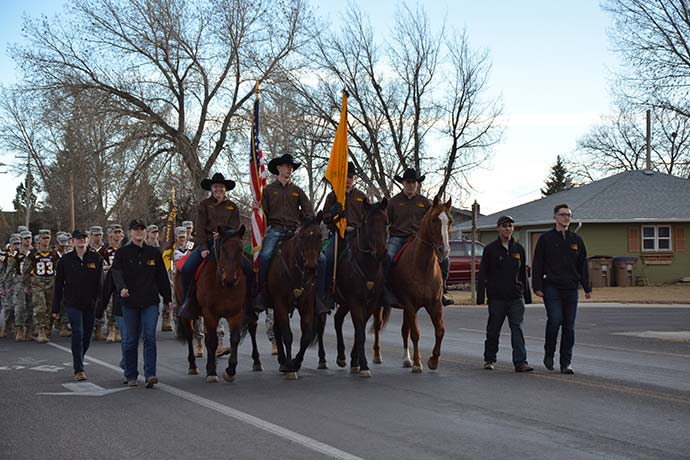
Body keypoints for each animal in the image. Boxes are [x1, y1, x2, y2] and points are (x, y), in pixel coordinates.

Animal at [179, 226, 262, 380]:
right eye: (223, 249)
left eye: (240, 249)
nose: (230, 280)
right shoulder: (209, 313)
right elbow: (212, 341)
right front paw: (212, 372)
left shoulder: (236, 312)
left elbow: (234, 338)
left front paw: (230, 370)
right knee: (189, 333)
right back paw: (193, 365)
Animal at [268, 212, 324, 378]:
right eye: (302, 237)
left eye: (320, 236)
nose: (311, 268)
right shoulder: (279, 302)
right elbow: (287, 335)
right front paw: (289, 365)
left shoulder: (307, 304)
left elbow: (305, 336)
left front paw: (296, 362)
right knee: (277, 329)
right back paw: (282, 360)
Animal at [328, 199, 388, 378]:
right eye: (368, 222)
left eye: (386, 222)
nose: (380, 252)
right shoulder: (355, 301)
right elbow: (360, 332)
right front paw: (364, 366)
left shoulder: (371, 303)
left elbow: (358, 331)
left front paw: (355, 362)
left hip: (344, 303)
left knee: (338, 319)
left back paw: (341, 357)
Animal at [388, 196, 452, 372]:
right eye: (434, 219)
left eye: (449, 221)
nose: (444, 250)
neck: (423, 266)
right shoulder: (410, 304)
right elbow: (415, 333)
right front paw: (418, 363)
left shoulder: (435, 304)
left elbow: (440, 330)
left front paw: (433, 360)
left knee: (404, 330)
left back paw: (406, 359)